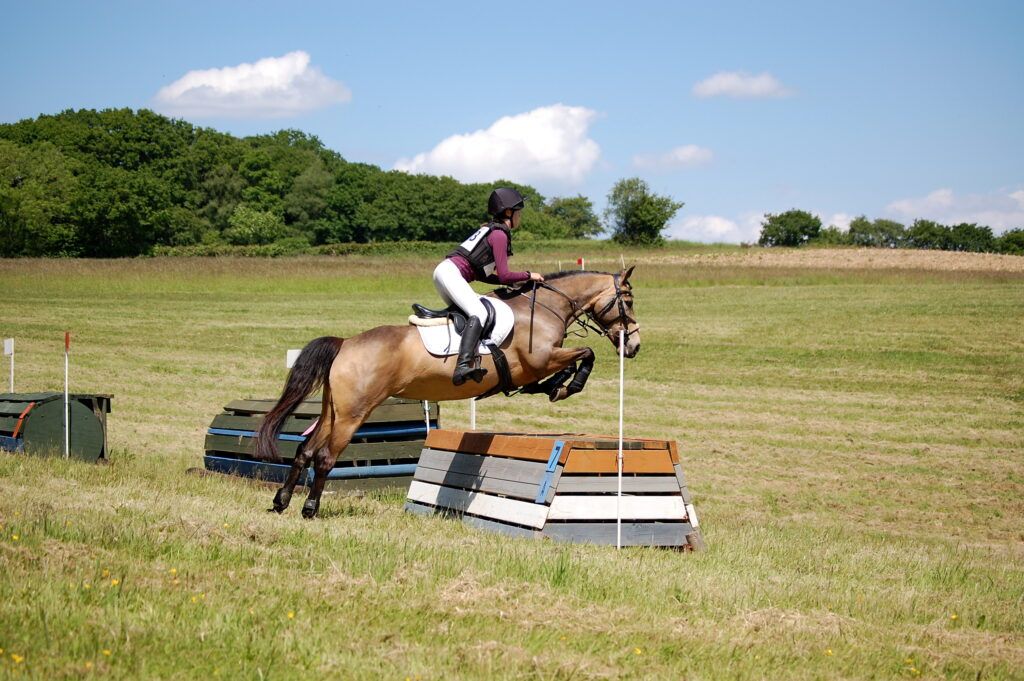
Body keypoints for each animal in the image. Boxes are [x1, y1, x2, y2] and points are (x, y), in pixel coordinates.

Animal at [253, 266, 638, 516]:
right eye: (629, 301)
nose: (633, 346)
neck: (543, 310)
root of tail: (346, 343)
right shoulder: (539, 359)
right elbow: (585, 354)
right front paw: (567, 386)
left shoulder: (538, 366)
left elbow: (567, 365)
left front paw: (556, 386)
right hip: (354, 413)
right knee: (324, 457)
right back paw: (310, 507)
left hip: (334, 410)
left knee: (304, 450)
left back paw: (280, 502)